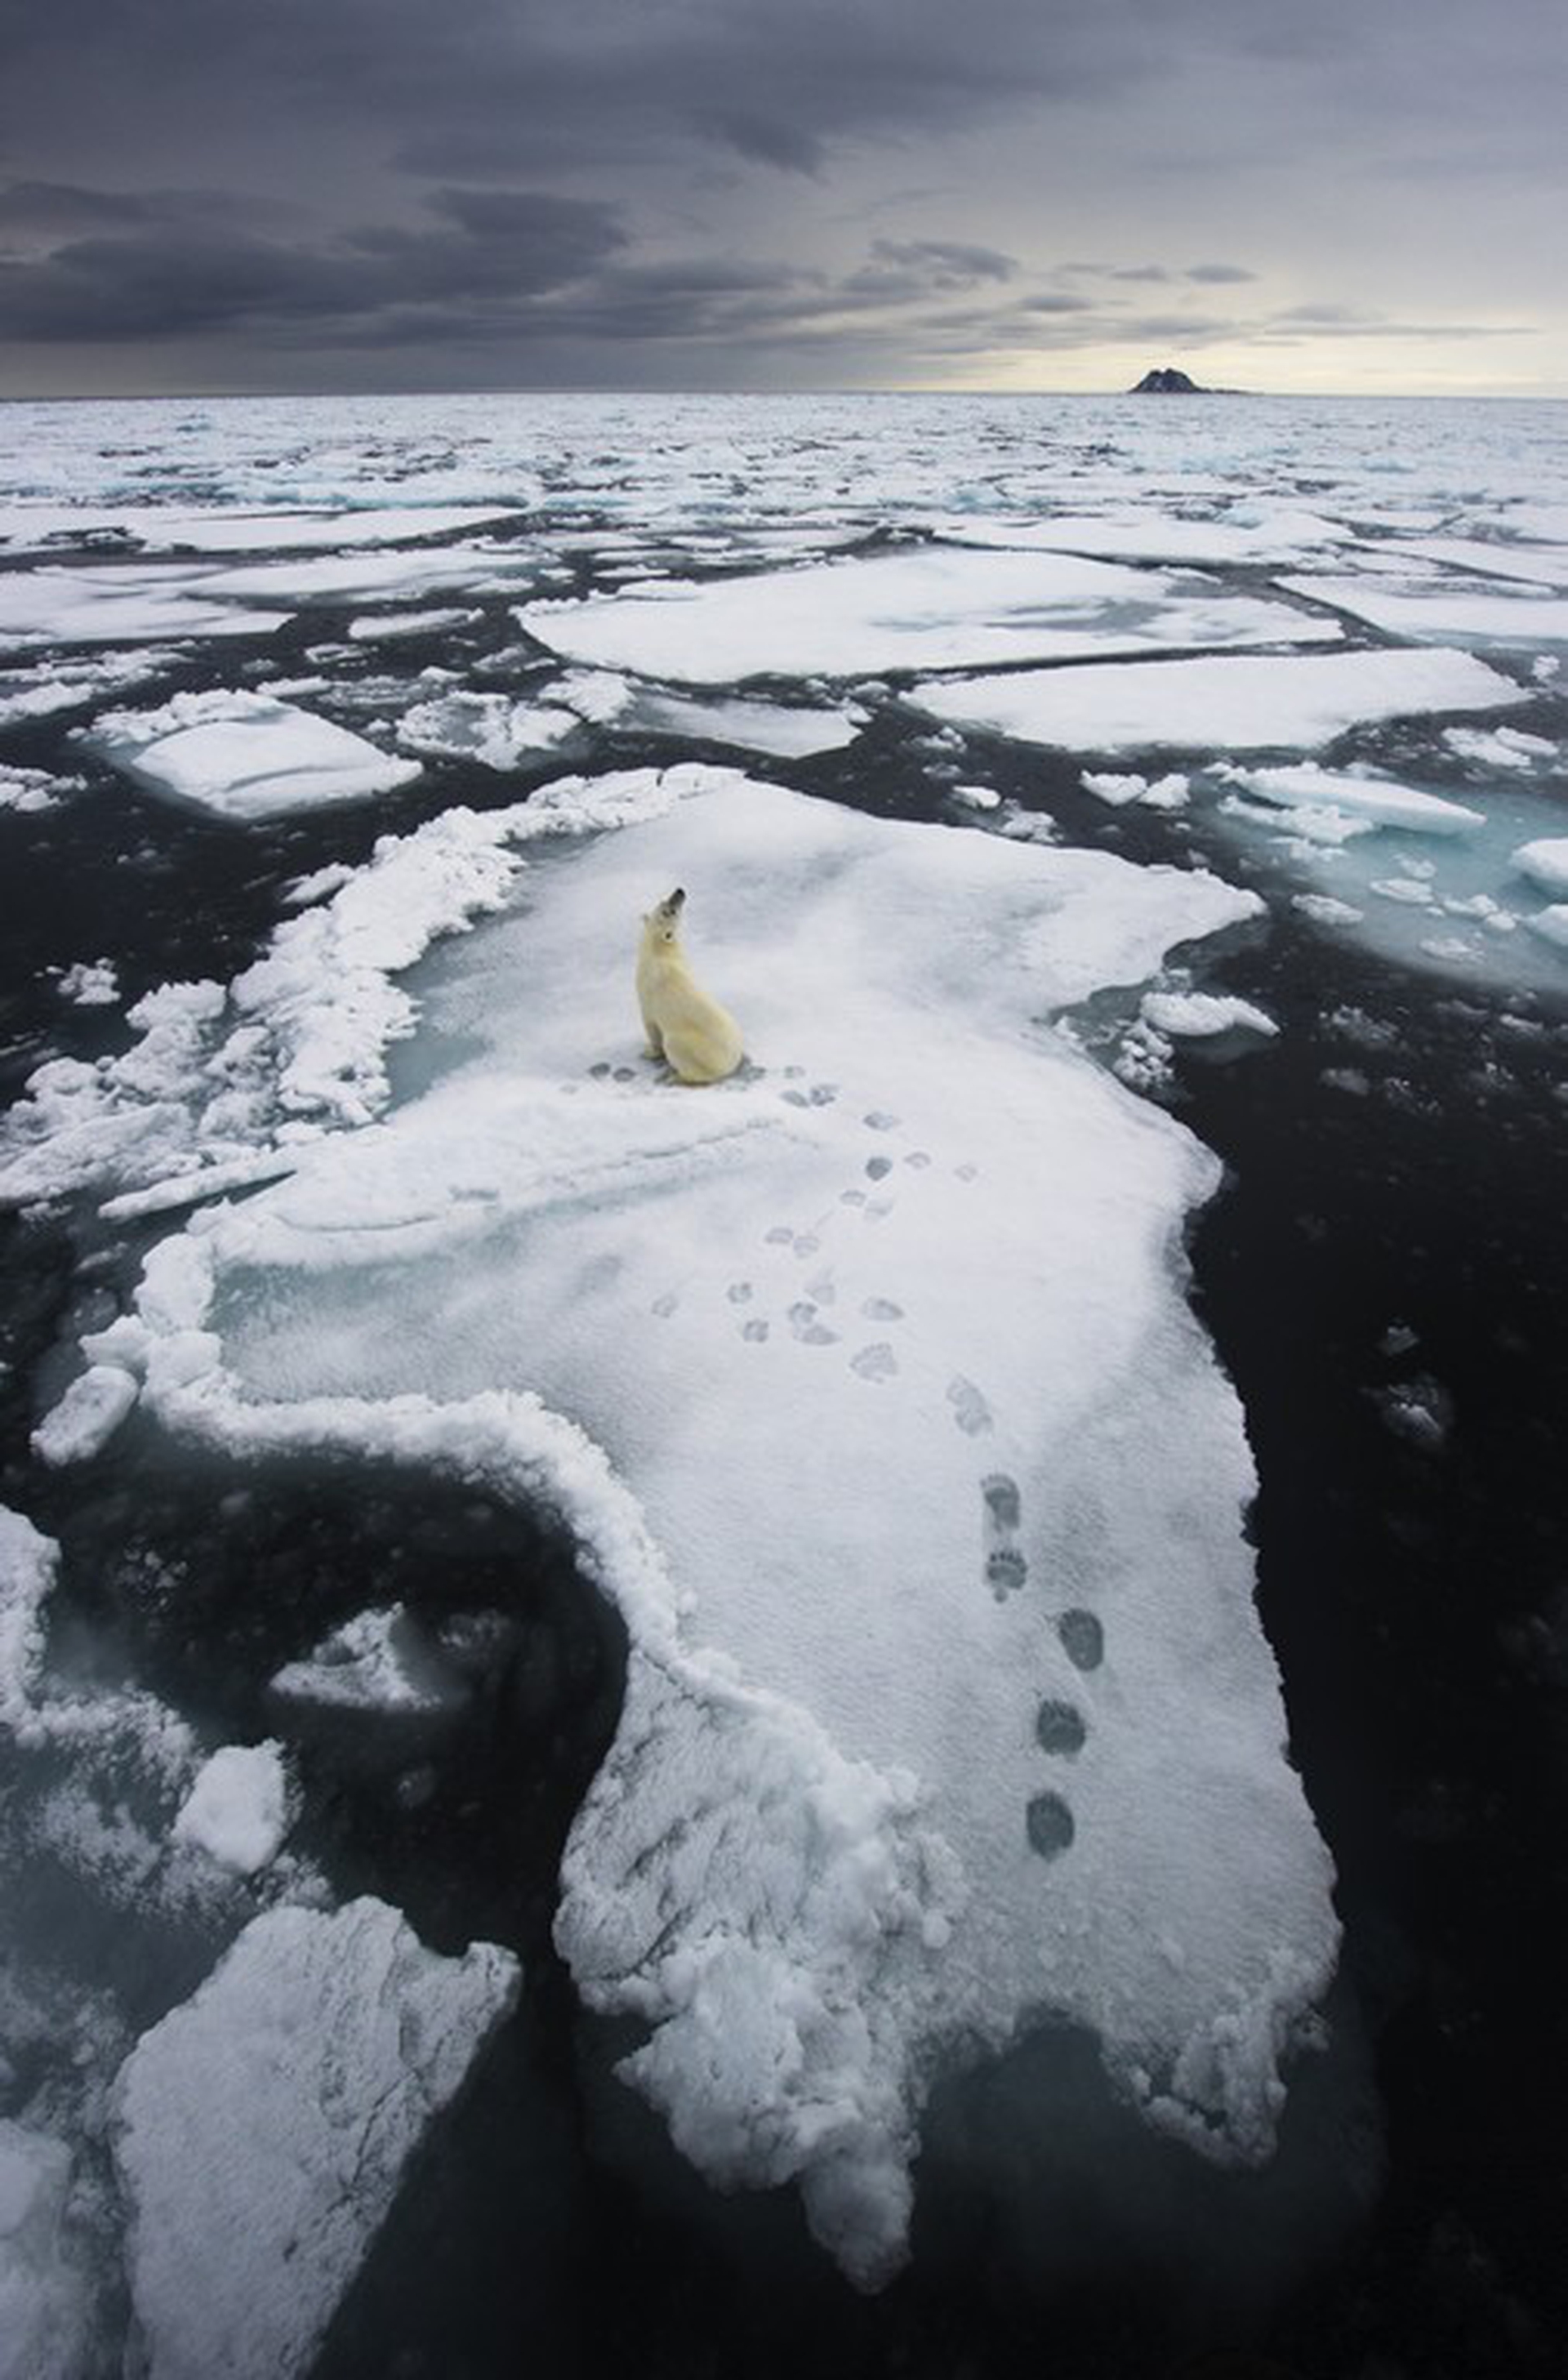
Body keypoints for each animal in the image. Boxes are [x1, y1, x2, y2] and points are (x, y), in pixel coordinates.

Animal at [636, 888, 745, 1085]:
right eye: (665, 907)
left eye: (673, 911)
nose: (680, 892)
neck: (661, 953)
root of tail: (731, 1065)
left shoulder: (647, 993)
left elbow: (651, 1026)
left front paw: (648, 1052)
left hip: (697, 1049)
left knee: (675, 1046)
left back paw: (676, 1077)